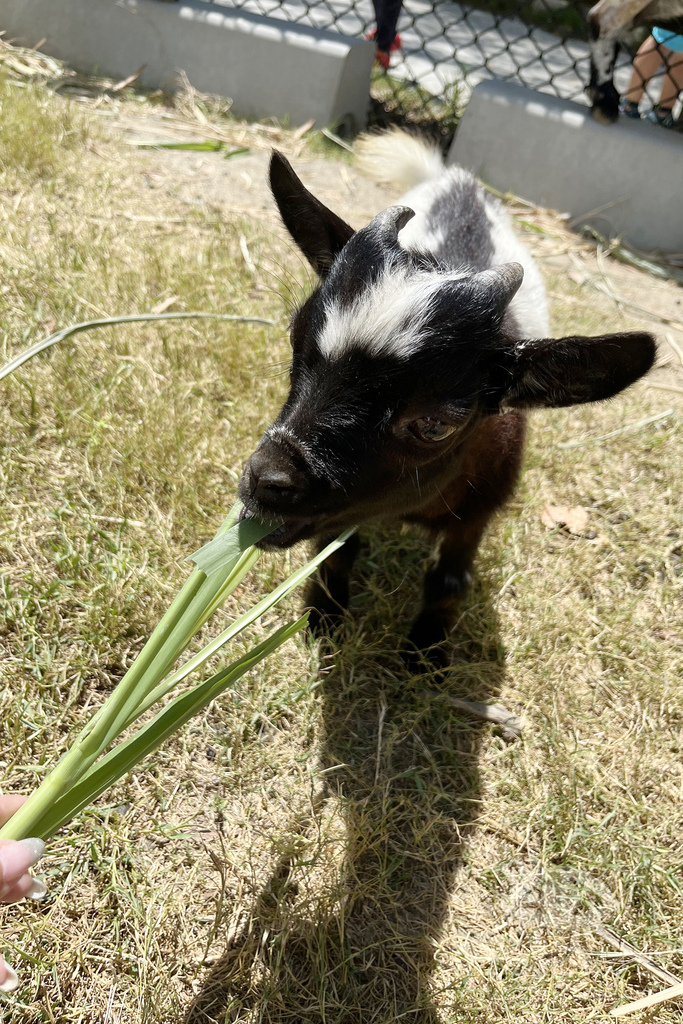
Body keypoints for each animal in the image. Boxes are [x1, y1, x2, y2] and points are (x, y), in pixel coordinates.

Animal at [237, 130, 655, 663]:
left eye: (435, 424)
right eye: (295, 339)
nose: (264, 478)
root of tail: (460, 183)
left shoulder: (478, 512)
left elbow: (449, 580)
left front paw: (426, 655)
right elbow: (336, 552)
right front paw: (323, 619)